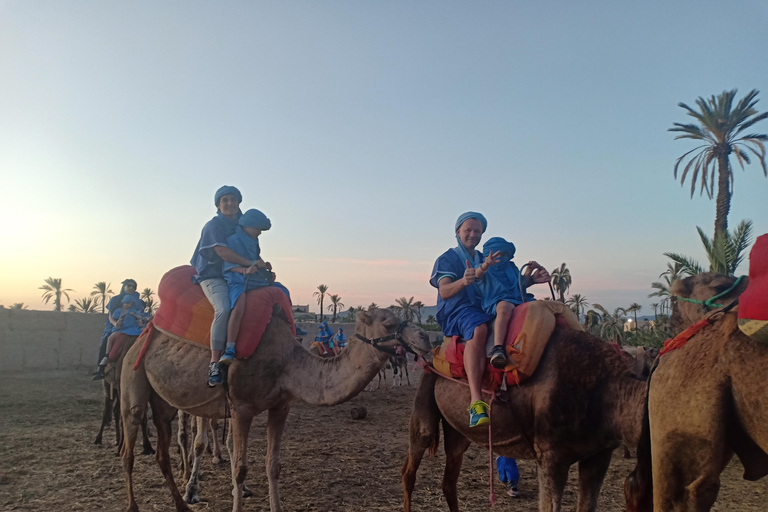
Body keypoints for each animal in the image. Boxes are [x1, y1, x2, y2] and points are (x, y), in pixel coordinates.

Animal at [120, 308, 432, 512]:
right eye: (389, 324)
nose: (427, 339)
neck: (286, 362)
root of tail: (143, 334)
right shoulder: (241, 408)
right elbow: (240, 468)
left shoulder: (281, 406)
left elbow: (273, 465)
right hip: (133, 376)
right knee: (130, 444)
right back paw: (139, 503)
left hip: (163, 400)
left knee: (163, 449)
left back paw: (180, 502)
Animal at [402, 326, 648, 510]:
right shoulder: (551, 455)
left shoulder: (598, 453)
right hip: (426, 397)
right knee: (410, 468)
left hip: (458, 432)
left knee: (449, 479)